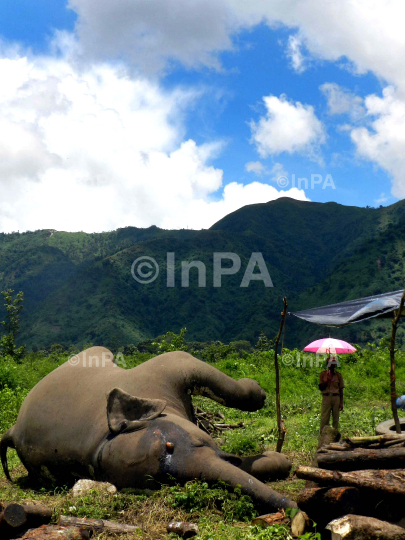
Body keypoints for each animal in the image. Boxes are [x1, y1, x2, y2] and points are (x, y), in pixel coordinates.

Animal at [0, 348, 294, 512]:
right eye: (169, 483)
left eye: (169, 445)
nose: (293, 508)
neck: (102, 437)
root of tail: (12, 430)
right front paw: (280, 459)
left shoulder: (163, 371)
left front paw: (259, 394)